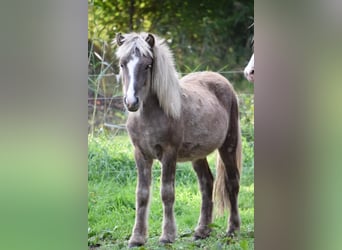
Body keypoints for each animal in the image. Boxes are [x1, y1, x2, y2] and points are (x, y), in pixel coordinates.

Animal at [116, 32, 242, 247]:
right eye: (123, 64)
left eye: (147, 65)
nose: (131, 102)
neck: (150, 115)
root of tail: (222, 79)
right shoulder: (141, 154)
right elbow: (142, 194)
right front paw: (137, 238)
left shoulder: (169, 154)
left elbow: (167, 193)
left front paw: (167, 236)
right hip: (197, 155)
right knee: (206, 183)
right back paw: (202, 231)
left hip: (228, 146)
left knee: (232, 183)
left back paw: (232, 230)